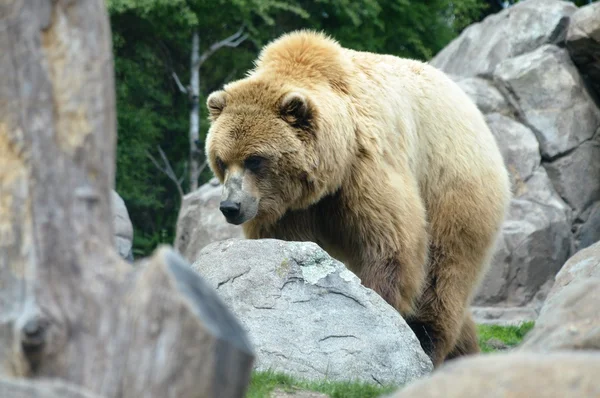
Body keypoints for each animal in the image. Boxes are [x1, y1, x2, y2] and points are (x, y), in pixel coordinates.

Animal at [205, 30, 510, 366]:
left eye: (255, 159)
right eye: (221, 160)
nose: (231, 206)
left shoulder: (366, 168)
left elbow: (390, 242)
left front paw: (379, 306)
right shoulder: (290, 210)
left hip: (451, 184)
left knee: (445, 270)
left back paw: (428, 338)